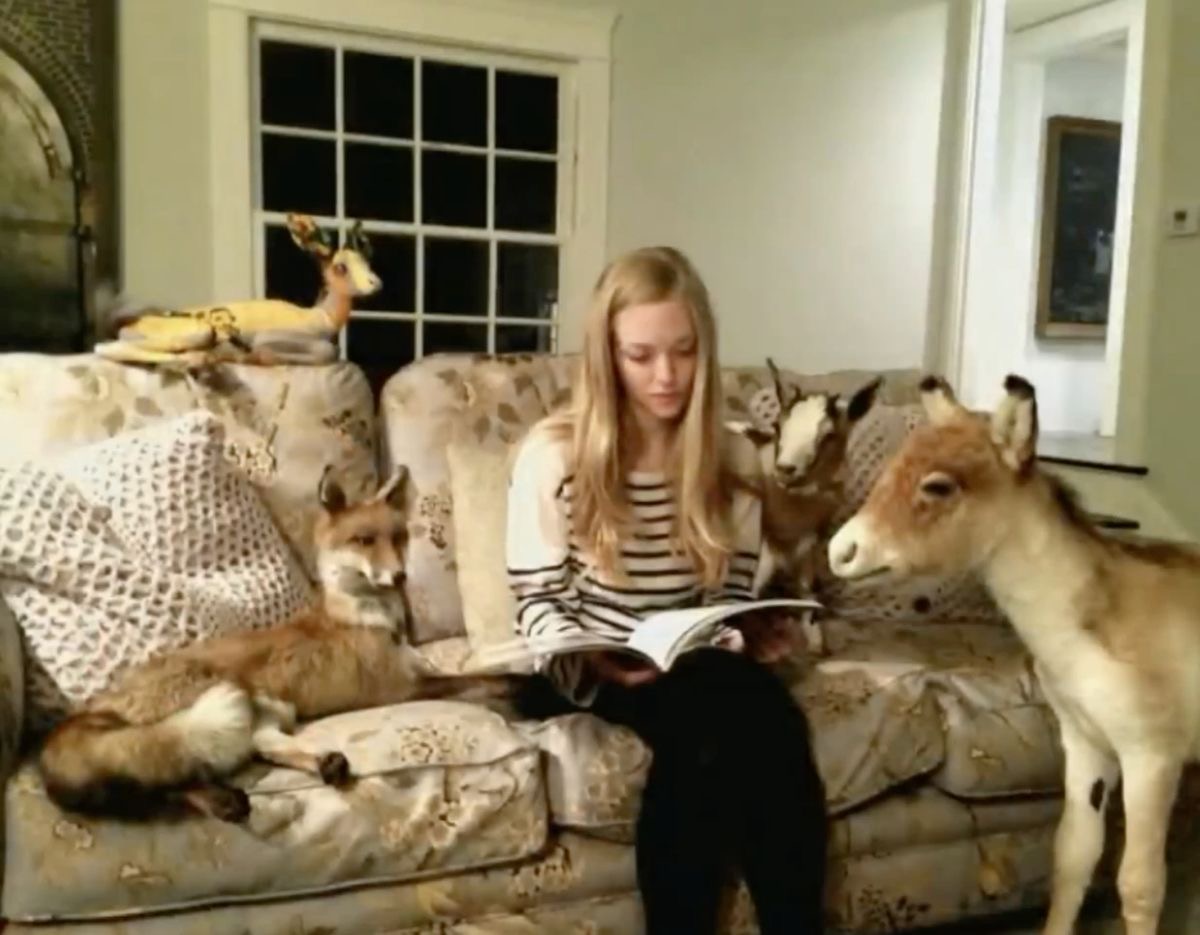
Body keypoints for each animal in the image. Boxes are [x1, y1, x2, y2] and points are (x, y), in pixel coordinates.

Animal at [828, 373, 1200, 935]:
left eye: (939, 486)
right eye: (891, 466)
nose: (839, 552)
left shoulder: (1152, 757)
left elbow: (1139, 886)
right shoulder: (1085, 745)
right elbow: (1072, 857)